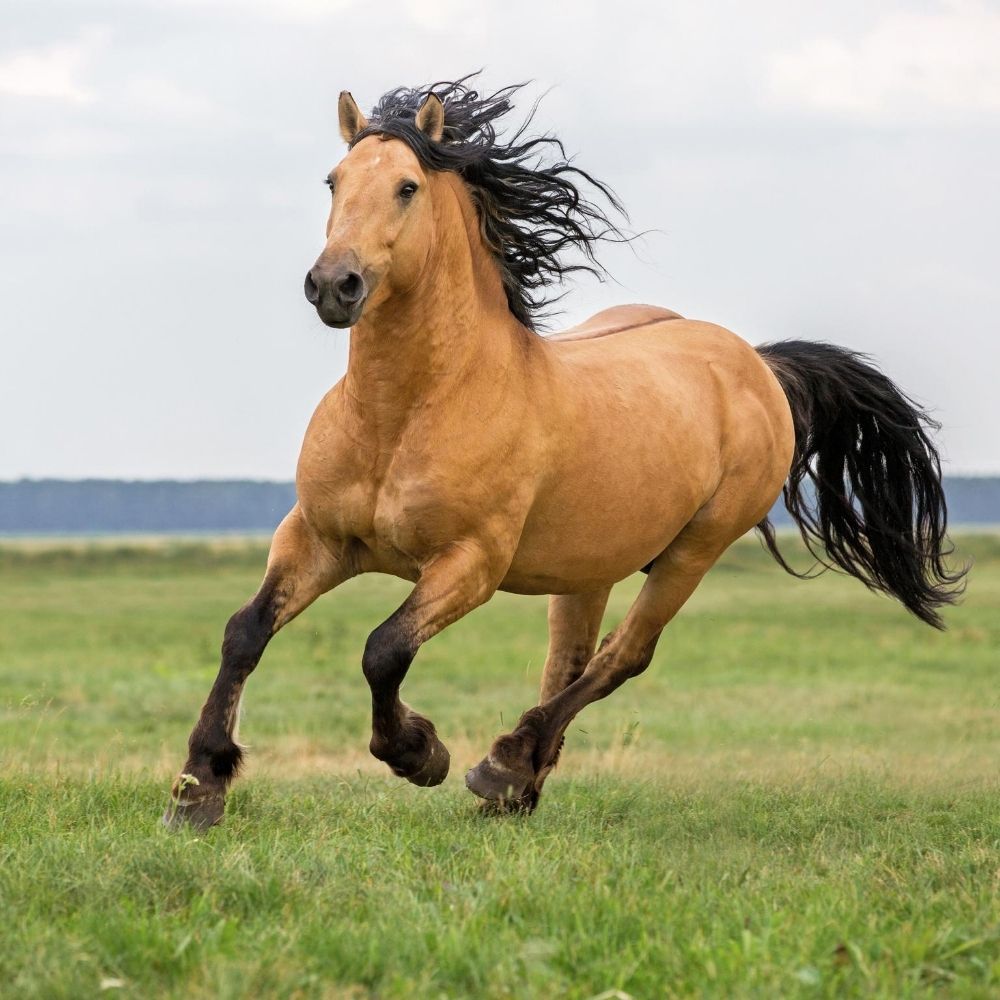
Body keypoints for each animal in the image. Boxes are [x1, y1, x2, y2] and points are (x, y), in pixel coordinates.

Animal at [165, 79, 964, 829]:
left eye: (407, 187)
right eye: (333, 181)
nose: (334, 285)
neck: (406, 413)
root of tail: (757, 364)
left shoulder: (470, 564)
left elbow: (382, 649)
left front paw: (420, 754)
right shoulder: (317, 538)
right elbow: (245, 633)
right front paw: (199, 788)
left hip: (694, 550)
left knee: (621, 658)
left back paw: (501, 766)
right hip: (590, 566)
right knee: (570, 662)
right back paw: (517, 786)